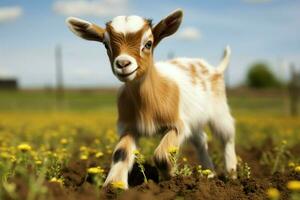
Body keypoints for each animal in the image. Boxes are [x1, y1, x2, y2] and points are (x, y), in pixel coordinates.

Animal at [67, 8, 238, 188]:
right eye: (106, 44)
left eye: (148, 44)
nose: (123, 64)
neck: (148, 102)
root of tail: (215, 69)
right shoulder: (129, 127)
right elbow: (121, 152)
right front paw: (114, 185)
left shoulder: (177, 124)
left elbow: (161, 155)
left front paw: (169, 177)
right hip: (195, 118)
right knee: (201, 140)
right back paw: (209, 174)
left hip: (219, 110)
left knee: (227, 136)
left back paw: (231, 174)